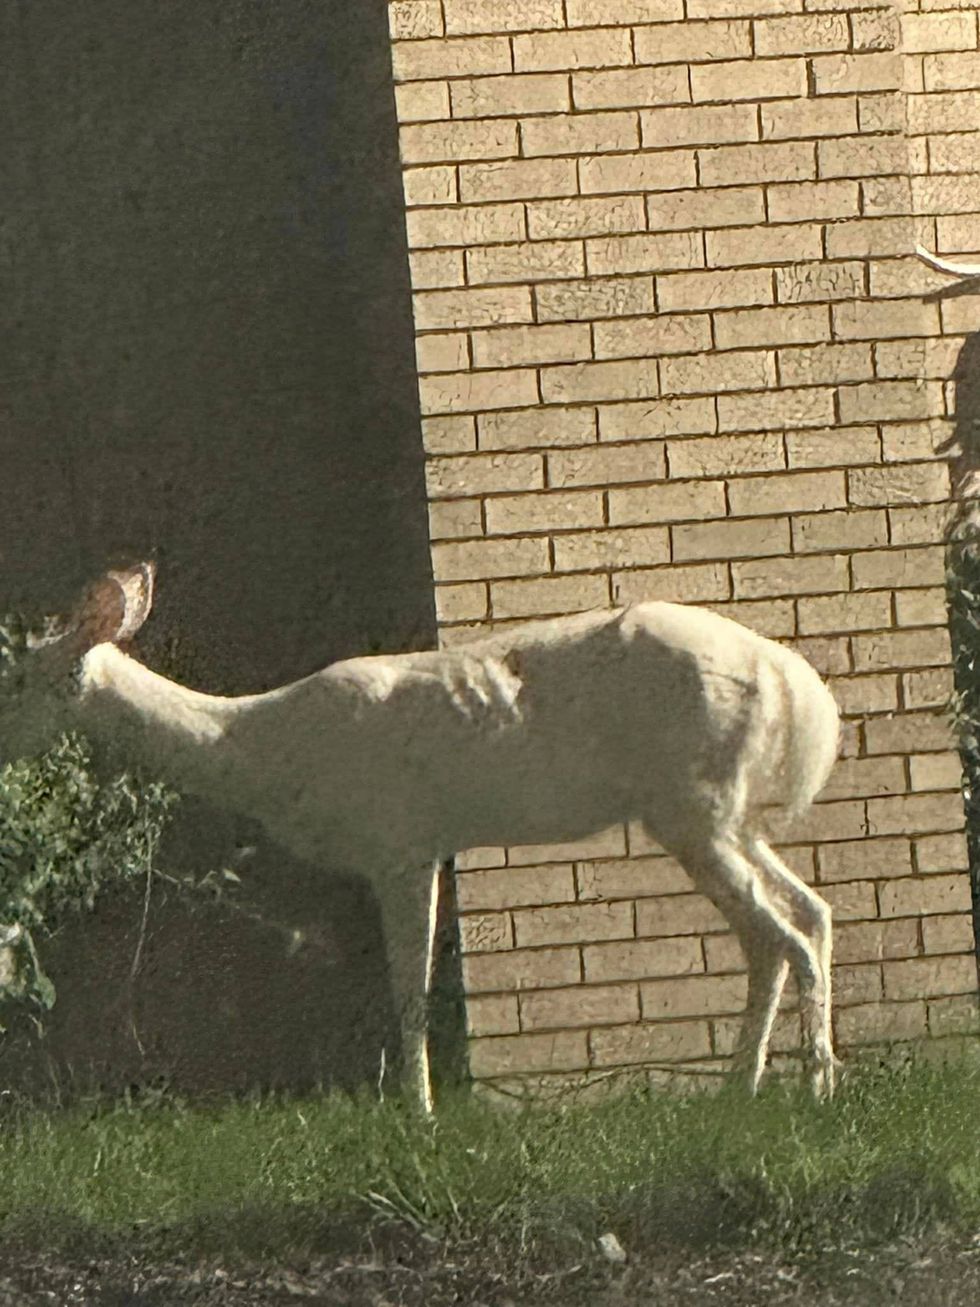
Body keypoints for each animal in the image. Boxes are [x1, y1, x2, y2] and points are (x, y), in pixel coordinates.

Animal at [0, 561, 841, 1111]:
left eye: (13, 679)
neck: (268, 747)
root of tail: (792, 680)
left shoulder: (398, 839)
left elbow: (409, 986)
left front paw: (420, 1110)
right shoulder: (421, 844)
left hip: (693, 805)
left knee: (783, 933)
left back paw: (814, 1084)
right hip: (725, 815)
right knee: (803, 915)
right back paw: (746, 1086)